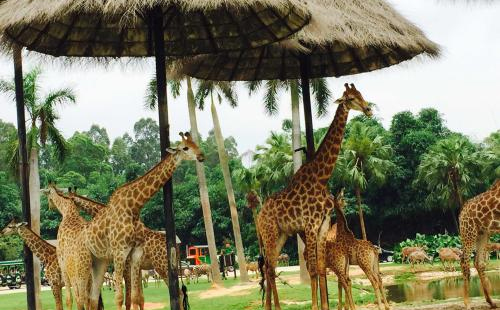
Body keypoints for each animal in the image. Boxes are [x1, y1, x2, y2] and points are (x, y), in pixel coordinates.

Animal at [258, 83, 372, 310]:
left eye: (361, 94)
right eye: (351, 98)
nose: (368, 109)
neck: (321, 178)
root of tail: (258, 217)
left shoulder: (322, 226)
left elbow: (320, 268)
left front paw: (324, 306)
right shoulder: (310, 225)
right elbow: (311, 270)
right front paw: (314, 306)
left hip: (281, 234)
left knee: (270, 268)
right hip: (269, 233)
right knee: (269, 268)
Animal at [458, 178, 498, 308]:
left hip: (482, 232)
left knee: (479, 262)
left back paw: (491, 302)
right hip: (469, 232)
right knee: (464, 261)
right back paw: (467, 304)